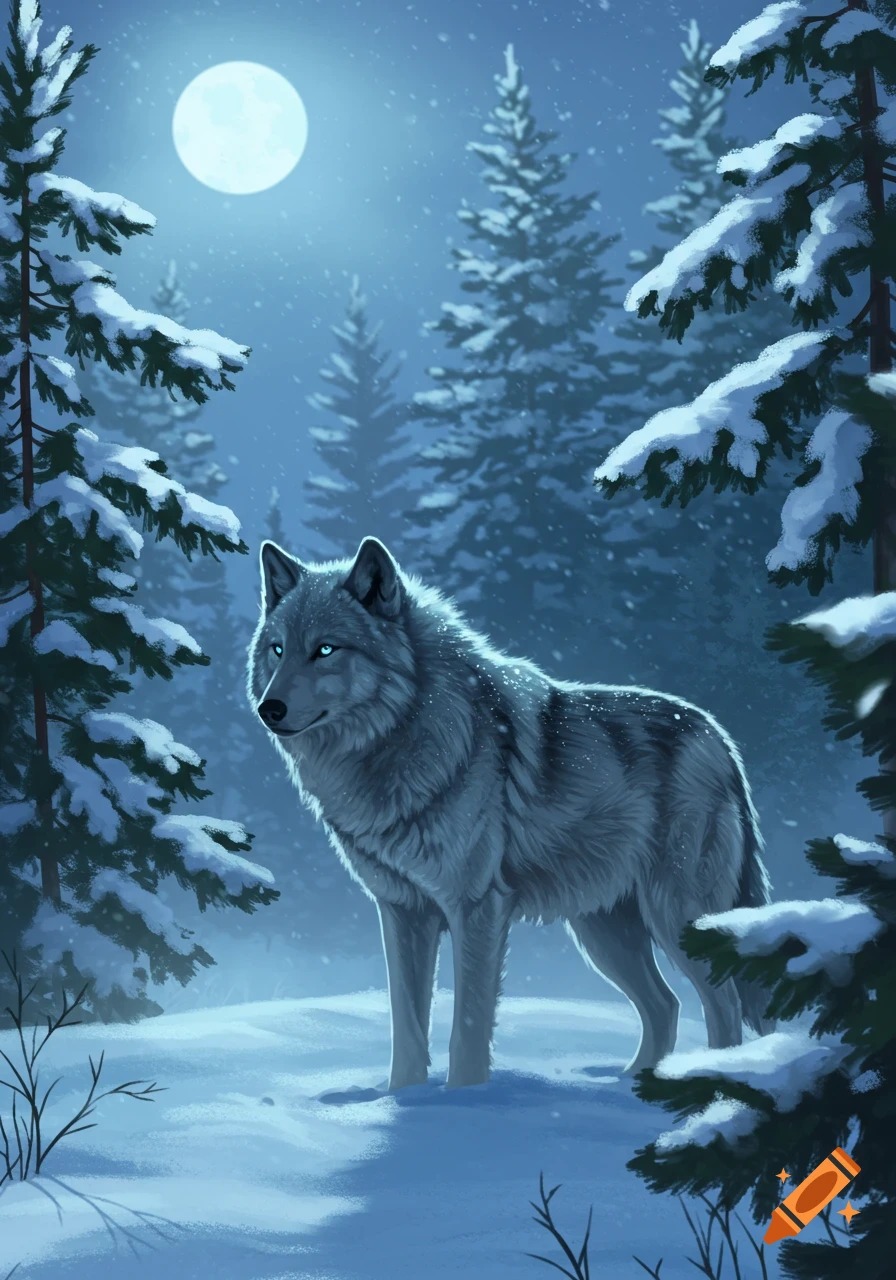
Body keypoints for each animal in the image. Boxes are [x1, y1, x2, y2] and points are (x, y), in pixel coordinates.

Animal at [248, 536, 774, 1090]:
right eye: (277, 649)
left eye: (326, 649)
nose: (268, 709)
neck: (407, 733)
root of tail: (720, 738)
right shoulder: (402, 912)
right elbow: (407, 1028)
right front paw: (402, 1100)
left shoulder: (477, 908)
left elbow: (468, 1028)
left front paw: (467, 1101)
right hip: (604, 933)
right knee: (666, 1006)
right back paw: (631, 1086)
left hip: (675, 916)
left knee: (723, 1005)